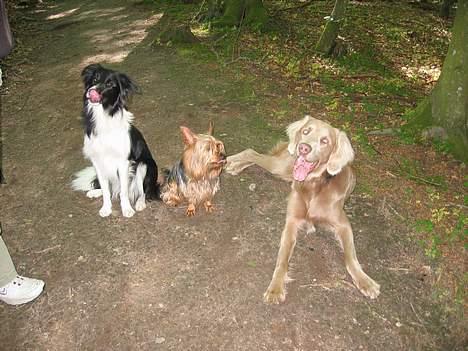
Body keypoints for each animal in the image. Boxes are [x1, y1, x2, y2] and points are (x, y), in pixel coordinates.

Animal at [72, 63, 161, 217]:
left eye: (110, 84)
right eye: (95, 78)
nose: (92, 90)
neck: (103, 116)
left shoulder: (123, 162)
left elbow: (124, 191)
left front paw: (127, 209)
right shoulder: (97, 161)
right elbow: (106, 189)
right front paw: (106, 208)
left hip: (144, 165)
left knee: (143, 191)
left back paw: (140, 203)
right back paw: (96, 192)